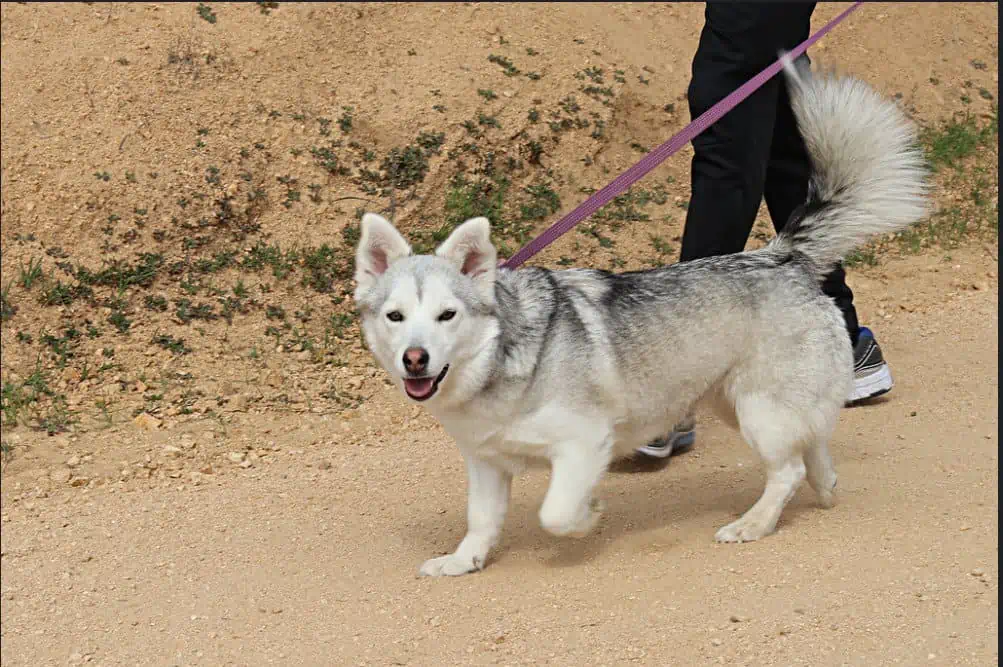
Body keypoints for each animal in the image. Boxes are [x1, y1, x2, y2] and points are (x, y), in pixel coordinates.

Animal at [355, 54, 930, 573]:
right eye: (395, 317)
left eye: (447, 315)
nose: (414, 359)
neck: (506, 358)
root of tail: (780, 255)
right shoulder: (486, 464)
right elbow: (480, 520)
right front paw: (464, 561)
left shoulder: (584, 444)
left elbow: (555, 512)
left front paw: (588, 516)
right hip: (739, 402)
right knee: (812, 444)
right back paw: (824, 486)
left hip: (759, 410)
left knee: (785, 469)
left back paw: (754, 523)